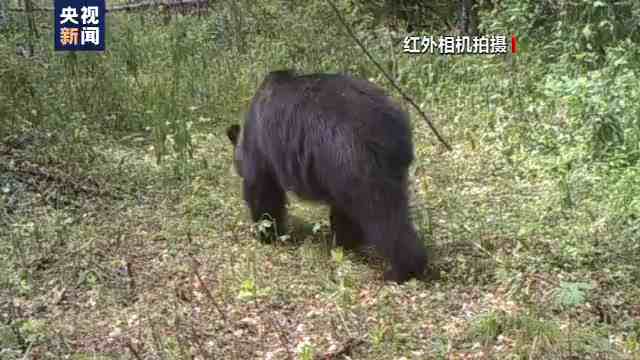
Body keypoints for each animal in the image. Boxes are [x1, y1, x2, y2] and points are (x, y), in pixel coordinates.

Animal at [228, 69, 428, 284]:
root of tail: (393, 129)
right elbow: (342, 213)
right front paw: (343, 242)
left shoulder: (262, 144)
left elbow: (262, 190)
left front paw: (266, 233)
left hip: (356, 158)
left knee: (382, 214)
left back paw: (401, 270)